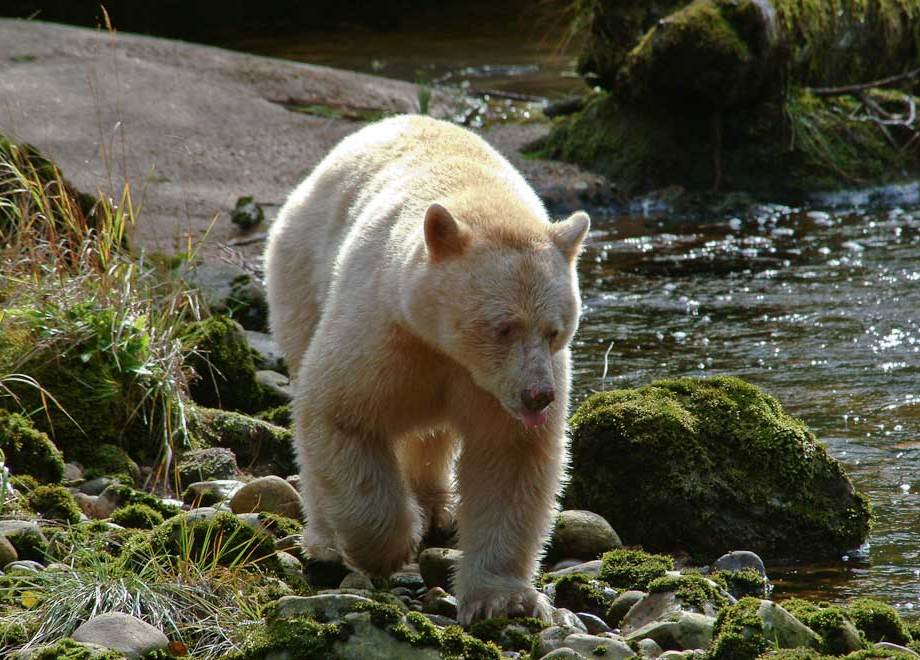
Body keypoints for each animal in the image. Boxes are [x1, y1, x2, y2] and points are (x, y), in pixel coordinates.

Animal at [264, 115, 589, 623]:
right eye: (504, 327)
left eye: (556, 330)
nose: (540, 396)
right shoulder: (387, 328)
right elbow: (339, 411)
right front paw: (387, 547)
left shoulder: (490, 385)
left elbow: (509, 456)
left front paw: (502, 599)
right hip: (301, 270)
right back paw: (326, 541)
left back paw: (437, 507)